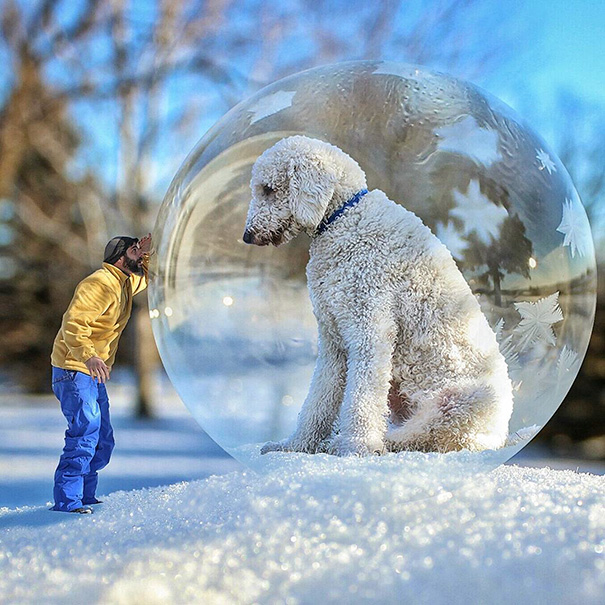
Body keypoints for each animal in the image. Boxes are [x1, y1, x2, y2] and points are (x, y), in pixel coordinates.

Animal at [243, 133, 512, 452]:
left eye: (268, 189)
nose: (247, 236)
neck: (343, 218)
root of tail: (501, 433)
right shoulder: (333, 338)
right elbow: (319, 398)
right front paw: (297, 444)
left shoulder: (370, 327)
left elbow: (362, 395)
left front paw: (356, 446)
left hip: (460, 402)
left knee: (429, 435)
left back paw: (376, 442)